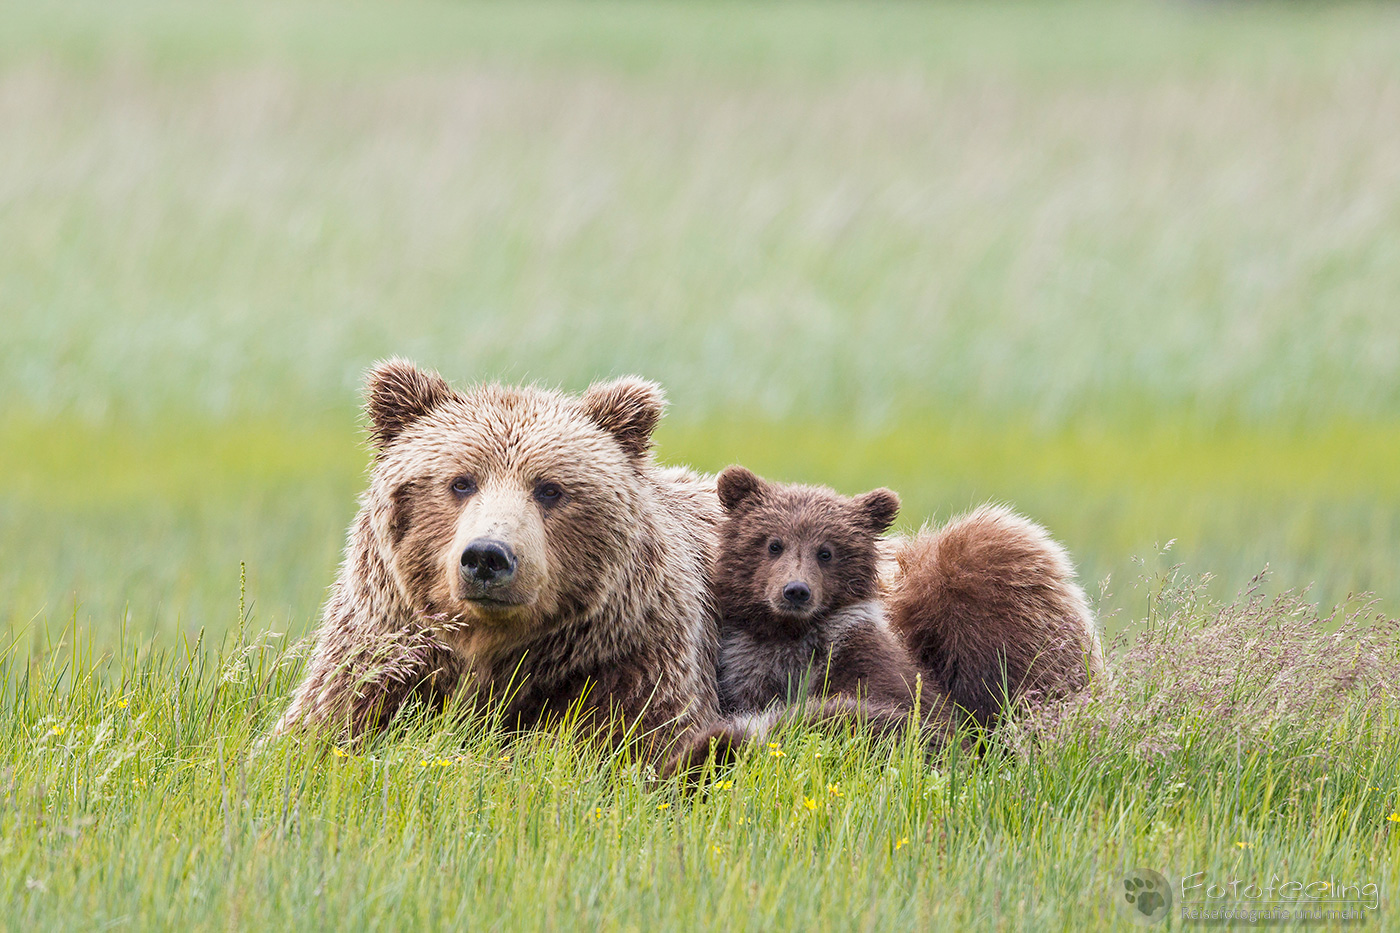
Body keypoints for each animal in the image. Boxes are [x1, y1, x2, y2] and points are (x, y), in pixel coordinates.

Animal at [271, 359, 723, 757]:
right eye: (460, 482)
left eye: (550, 489)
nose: (487, 556)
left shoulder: (630, 662)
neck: (488, 649)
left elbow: (634, 741)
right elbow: (322, 725)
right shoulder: (383, 650)